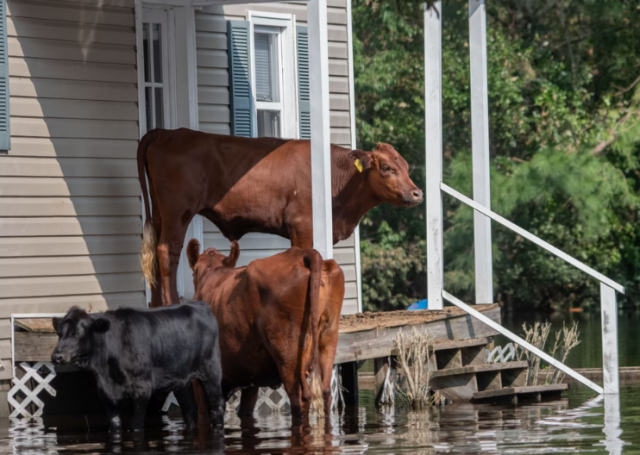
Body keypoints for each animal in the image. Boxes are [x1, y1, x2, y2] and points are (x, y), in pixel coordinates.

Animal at [52, 302, 225, 432]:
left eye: (76, 334)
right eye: (59, 334)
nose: (56, 356)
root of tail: (200, 304)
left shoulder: (142, 388)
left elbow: (136, 424)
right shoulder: (106, 394)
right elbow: (115, 425)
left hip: (211, 372)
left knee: (217, 406)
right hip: (181, 381)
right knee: (190, 410)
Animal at [138, 128, 422, 306]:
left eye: (406, 166)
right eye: (386, 168)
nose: (417, 193)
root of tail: (168, 132)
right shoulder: (302, 225)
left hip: (160, 212)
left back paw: (155, 305)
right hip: (177, 211)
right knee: (167, 251)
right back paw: (170, 304)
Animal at [185, 240, 344, 422]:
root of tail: (302, 253)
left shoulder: (200, 380)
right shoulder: (250, 378)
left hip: (287, 353)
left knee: (299, 398)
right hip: (328, 338)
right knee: (325, 392)